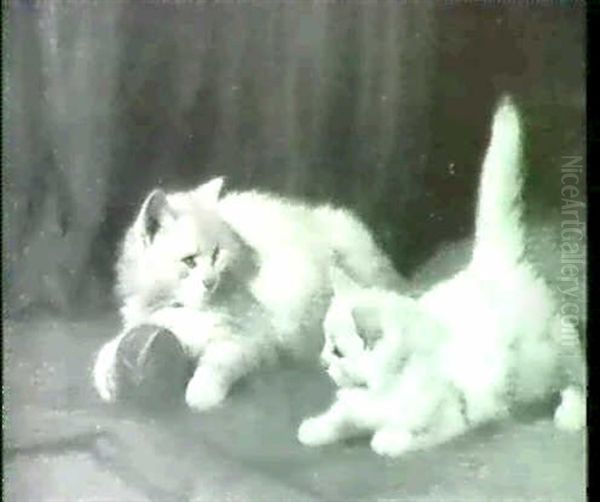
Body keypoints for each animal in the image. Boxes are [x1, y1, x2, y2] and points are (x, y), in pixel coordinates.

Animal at [92, 176, 404, 412]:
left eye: (216, 254)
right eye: (189, 261)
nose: (210, 282)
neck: (183, 308)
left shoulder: (251, 336)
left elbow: (219, 363)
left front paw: (201, 396)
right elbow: (114, 346)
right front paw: (107, 377)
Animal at [298, 97, 588, 454]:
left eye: (337, 351)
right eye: (326, 342)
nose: (322, 360)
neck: (391, 379)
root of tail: (491, 263)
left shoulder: (449, 417)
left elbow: (397, 437)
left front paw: (386, 439)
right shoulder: (357, 406)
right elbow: (341, 416)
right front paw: (315, 428)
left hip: (544, 359)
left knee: (575, 378)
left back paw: (571, 414)